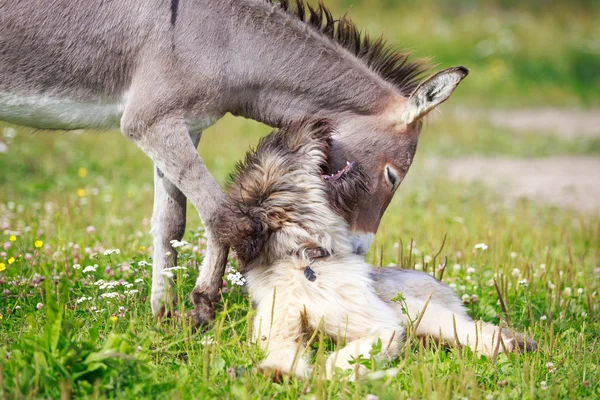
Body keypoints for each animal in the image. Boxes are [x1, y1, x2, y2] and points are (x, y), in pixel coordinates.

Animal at [219, 120, 536, 380]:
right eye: (289, 148)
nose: (317, 122)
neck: (306, 258)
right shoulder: (277, 324)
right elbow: (281, 348)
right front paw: (278, 370)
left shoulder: (380, 323)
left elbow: (356, 351)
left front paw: (332, 373)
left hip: (418, 310)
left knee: (475, 329)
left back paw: (514, 344)